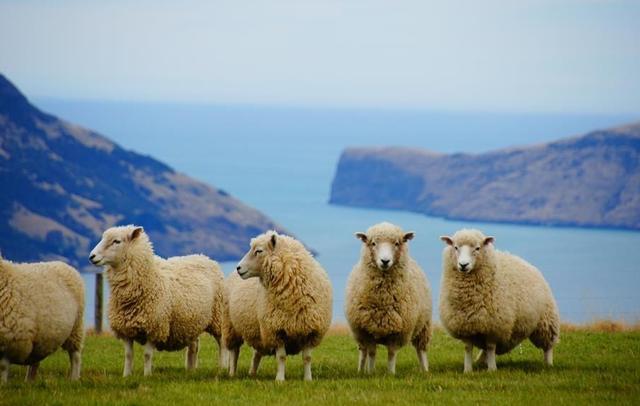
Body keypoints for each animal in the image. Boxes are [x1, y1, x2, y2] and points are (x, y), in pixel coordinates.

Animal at [0, 254, 85, 384]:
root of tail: (63, 263)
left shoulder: (10, 339)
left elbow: (3, 367)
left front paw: (3, 384)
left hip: (76, 327)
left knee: (75, 355)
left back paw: (74, 379)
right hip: (42, 337)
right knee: (35, 361)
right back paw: (29, 382)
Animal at [89, 225, 225, 378]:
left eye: (116, 241)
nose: (91, 256)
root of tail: (205, 257)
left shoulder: (154, 327)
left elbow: (147, 355)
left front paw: (147, 375)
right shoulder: (126, 329)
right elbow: (128, 355)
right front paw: (126, 376)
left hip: (218, 317)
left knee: (222, 343)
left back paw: (223, 367)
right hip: (191, 321)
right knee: (194, 346)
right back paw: (190, 369)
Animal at [235, 232, 336, 380]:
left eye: (259, 251)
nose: (238, 268)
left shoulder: (310, 330)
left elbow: (307, 358)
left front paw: (308, 379)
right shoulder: (276, 330)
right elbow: (281, 357)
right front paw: (280, 379)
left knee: (257, 353)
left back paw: (252, 374)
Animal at [344, 222, 430, 374]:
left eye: (397, 243)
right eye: (373, 243)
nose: (385, 261)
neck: (383, 298)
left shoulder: (398, 332)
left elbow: (391, 354)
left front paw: (390, 373)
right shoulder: (367, 330)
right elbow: (372, 353)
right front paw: (370, 372)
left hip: (424, 325)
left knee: (421, 350)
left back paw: (425, 370)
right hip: (359, 334)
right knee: (363, 352)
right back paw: (361, 370)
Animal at [440, 228, 560, 372]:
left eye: (477, 248)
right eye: (456, 247)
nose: (463, 265)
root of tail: (528, 264)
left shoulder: (495, 325)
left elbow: (491, 347)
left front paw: (492, 370)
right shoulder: (465, 325)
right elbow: (468, 348)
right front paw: (468, 370)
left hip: (546, 320)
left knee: (548, 346)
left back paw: (548, 364)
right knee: (484, 349)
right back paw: (481, 361)